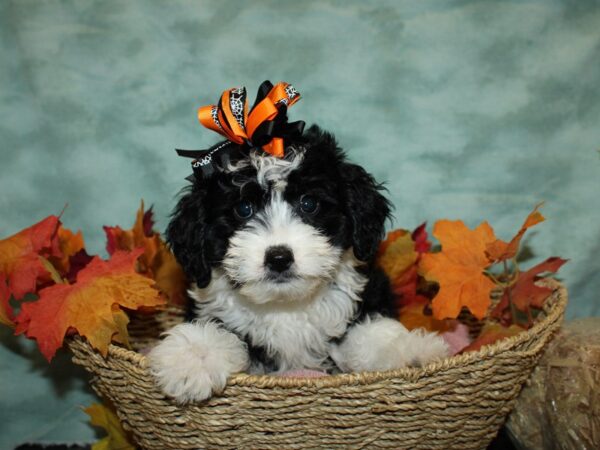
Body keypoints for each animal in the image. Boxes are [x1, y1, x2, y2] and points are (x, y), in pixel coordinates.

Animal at [149, 125, 450, 404]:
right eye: (244, 209)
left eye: (309, 203)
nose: (279, 258)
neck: (285, 305)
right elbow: (216, 329)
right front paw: (191, 358)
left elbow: (373, 330)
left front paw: (409, 350)